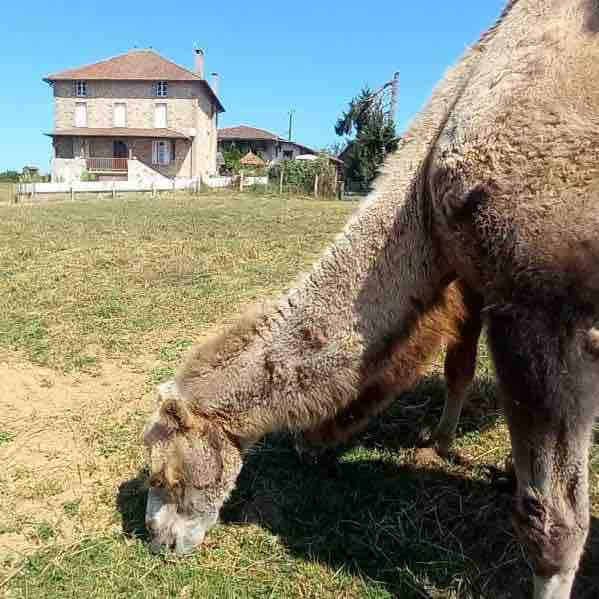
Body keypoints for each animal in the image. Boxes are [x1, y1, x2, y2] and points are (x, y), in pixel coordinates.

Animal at [143, 2, 599, 596]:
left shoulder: (542, 305)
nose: (156, 539)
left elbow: (554, 520)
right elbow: (458, 367)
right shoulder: (480, 286)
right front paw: (442, 441)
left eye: (165, 473)